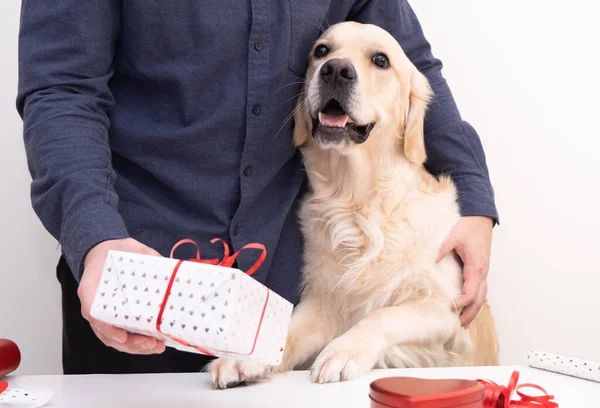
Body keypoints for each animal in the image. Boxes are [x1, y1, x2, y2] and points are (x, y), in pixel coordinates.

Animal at [209, 21, 500, 388]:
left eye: (380, 60)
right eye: (321, 51)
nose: (335, 70)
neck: (359, 202)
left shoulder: (448, 310)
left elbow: (384, 314)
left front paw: (343, 351)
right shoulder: (323, 304)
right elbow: (287, 330)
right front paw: (244, 358)